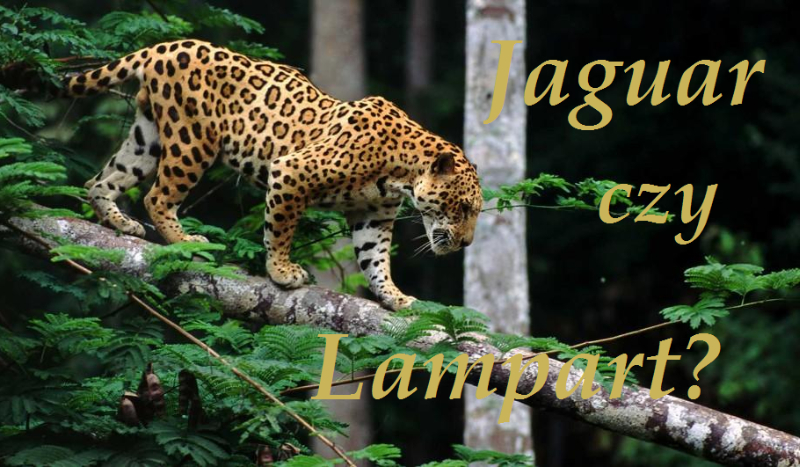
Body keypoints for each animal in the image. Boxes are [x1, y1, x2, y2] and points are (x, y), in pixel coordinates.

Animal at [62, 39, 482, 311]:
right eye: (462, 209)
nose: (466, 244)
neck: (401, 172)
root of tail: (167, 46)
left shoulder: (373, 216)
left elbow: (375, 259)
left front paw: (393, 296)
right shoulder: (292, 172)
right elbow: (280, 230)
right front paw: (282, 272)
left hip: (145, 137)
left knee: (101, 181)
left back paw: (119, 221)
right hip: (192, 140)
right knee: (157, 196)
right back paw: (185, 240)